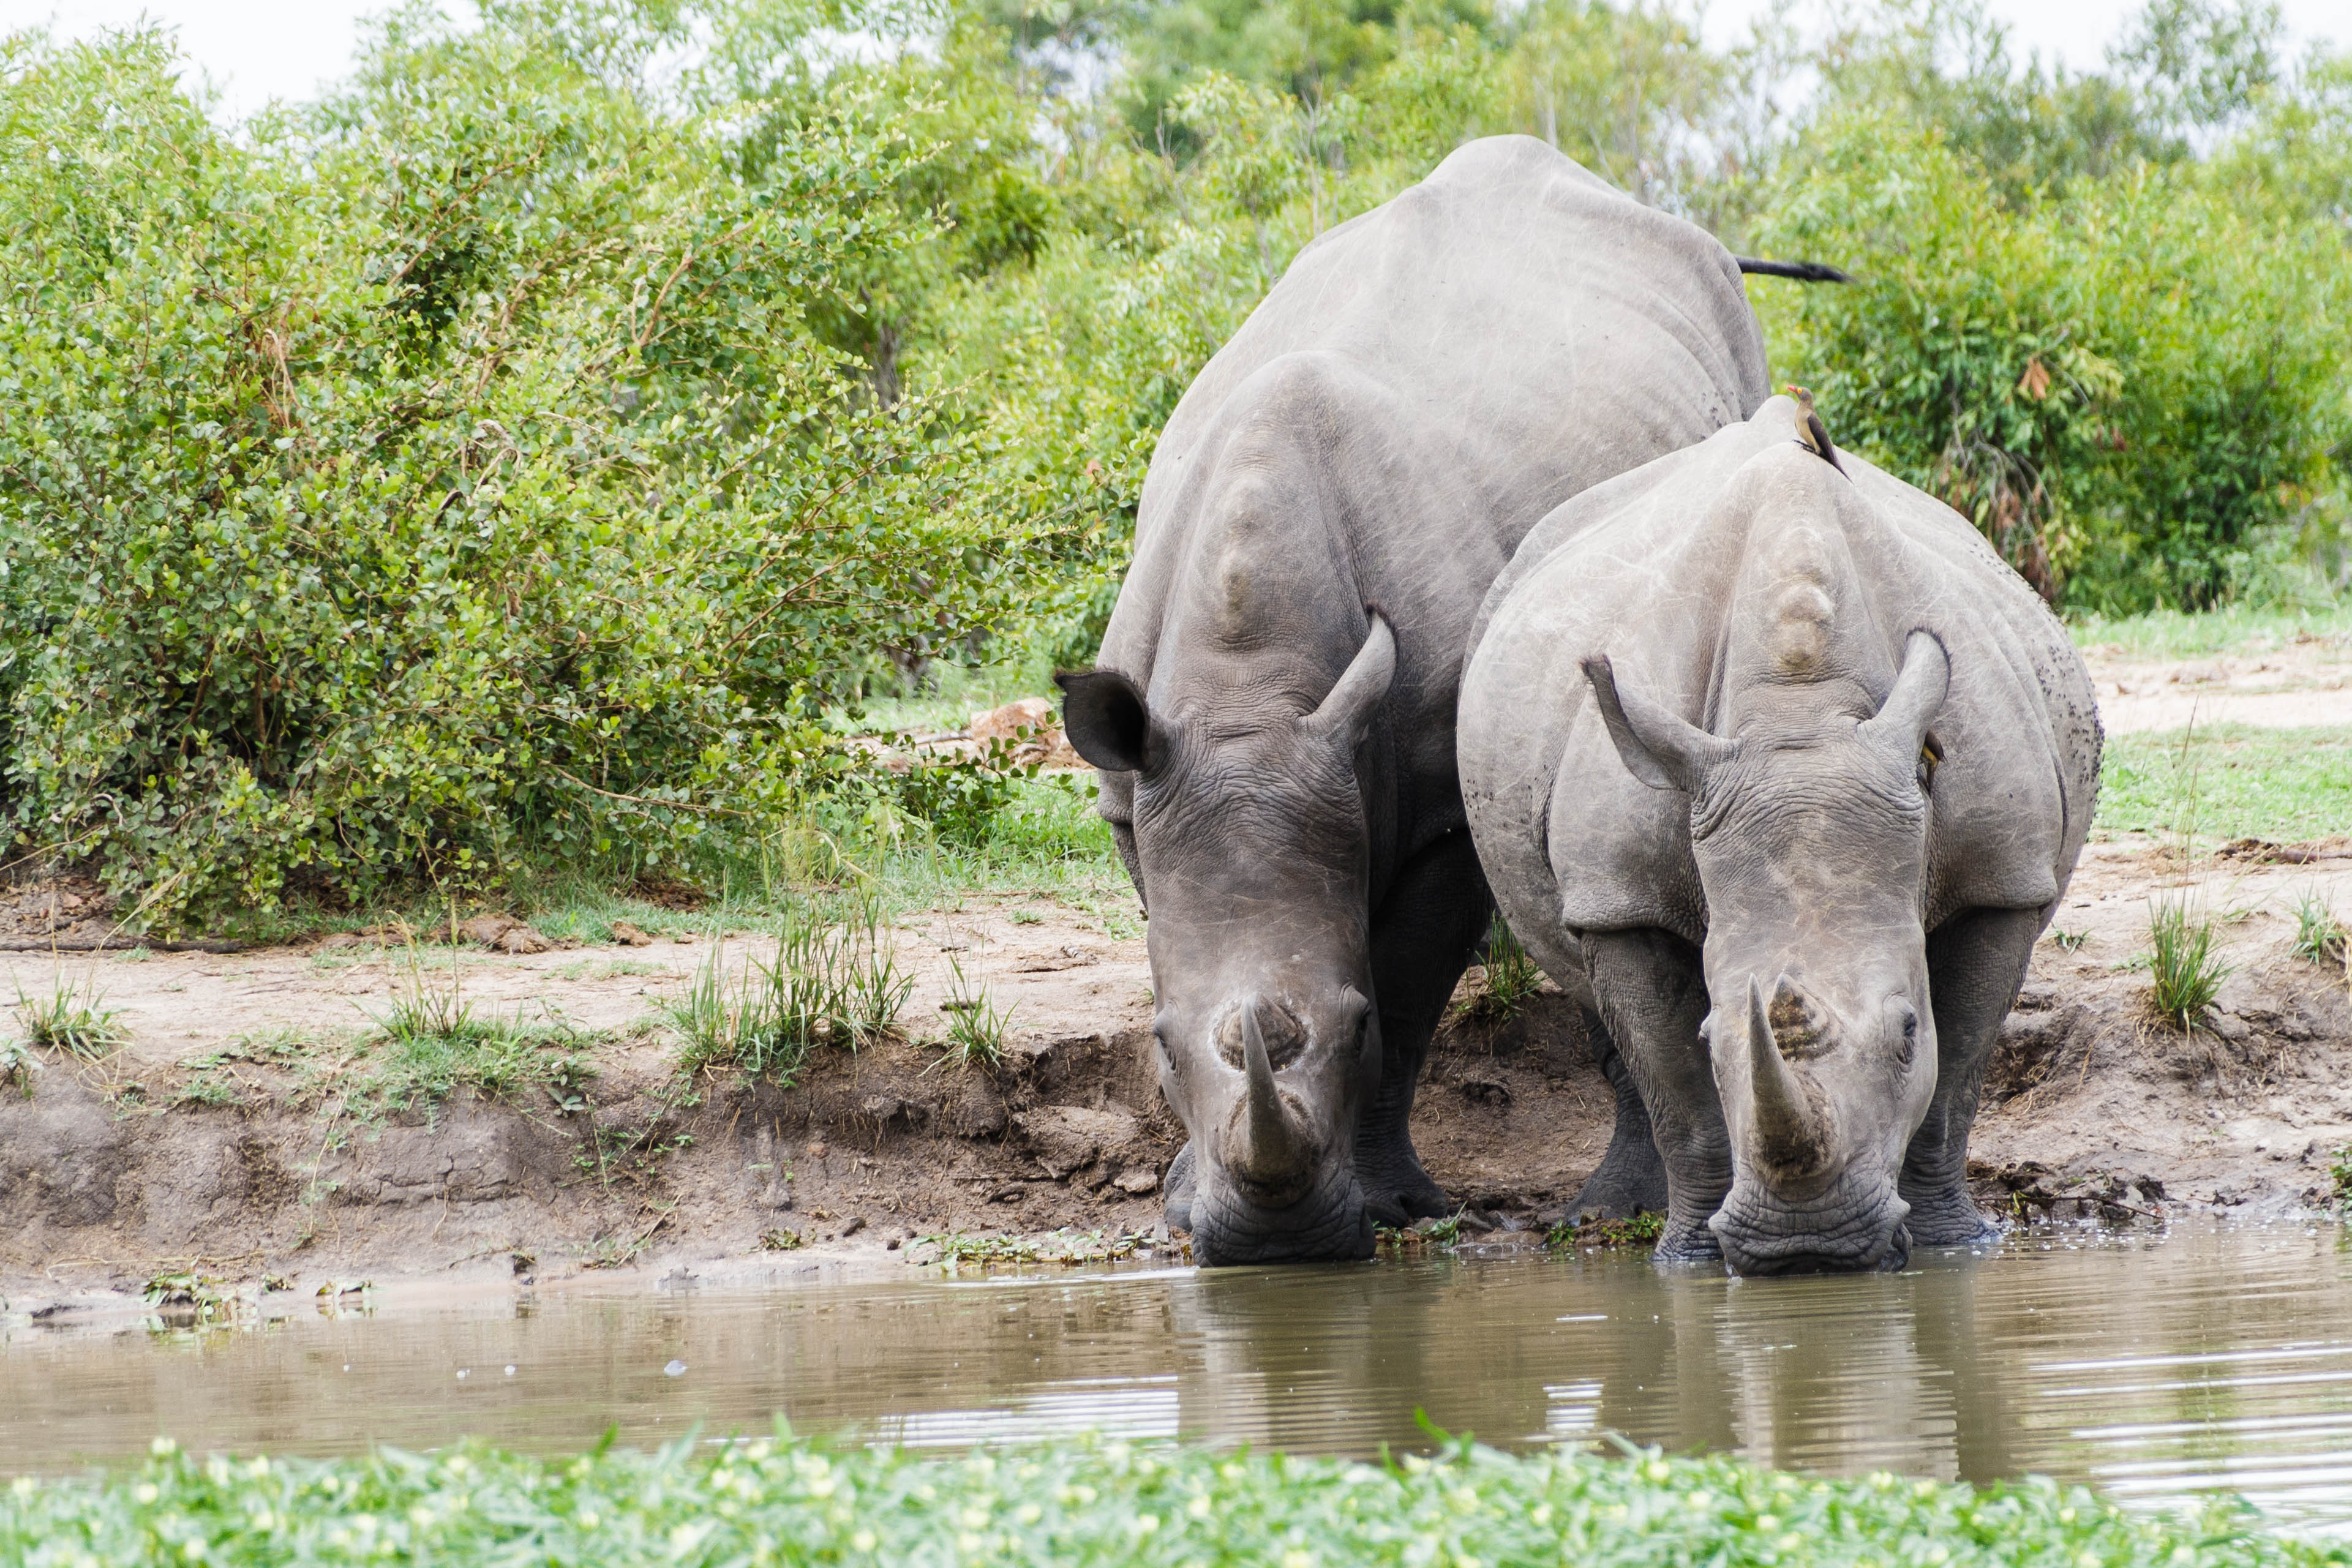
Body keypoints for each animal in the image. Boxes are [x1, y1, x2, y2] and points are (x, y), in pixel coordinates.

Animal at [1052, 136, 1778, 1264]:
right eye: (1158, 1051)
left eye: (1348, 1028)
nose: (1273, 1245)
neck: (1245, 691)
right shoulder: (1141, 790)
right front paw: (1181, 1201)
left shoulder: (1440, 806)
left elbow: (1402, 988)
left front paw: (1389, 1206)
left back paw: (1611, 1216)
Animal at [1459, 396, 2100, 1273]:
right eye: (1712, 1037)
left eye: (1907, 1031)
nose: (1807, 1247)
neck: (1800, 717)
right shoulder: (1619, 892)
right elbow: (1680, 1098)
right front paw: (1688, 1259)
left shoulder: (2001, 877)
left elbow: (1955, 1080)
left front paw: (1951, 1246)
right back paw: (1613, 1210)